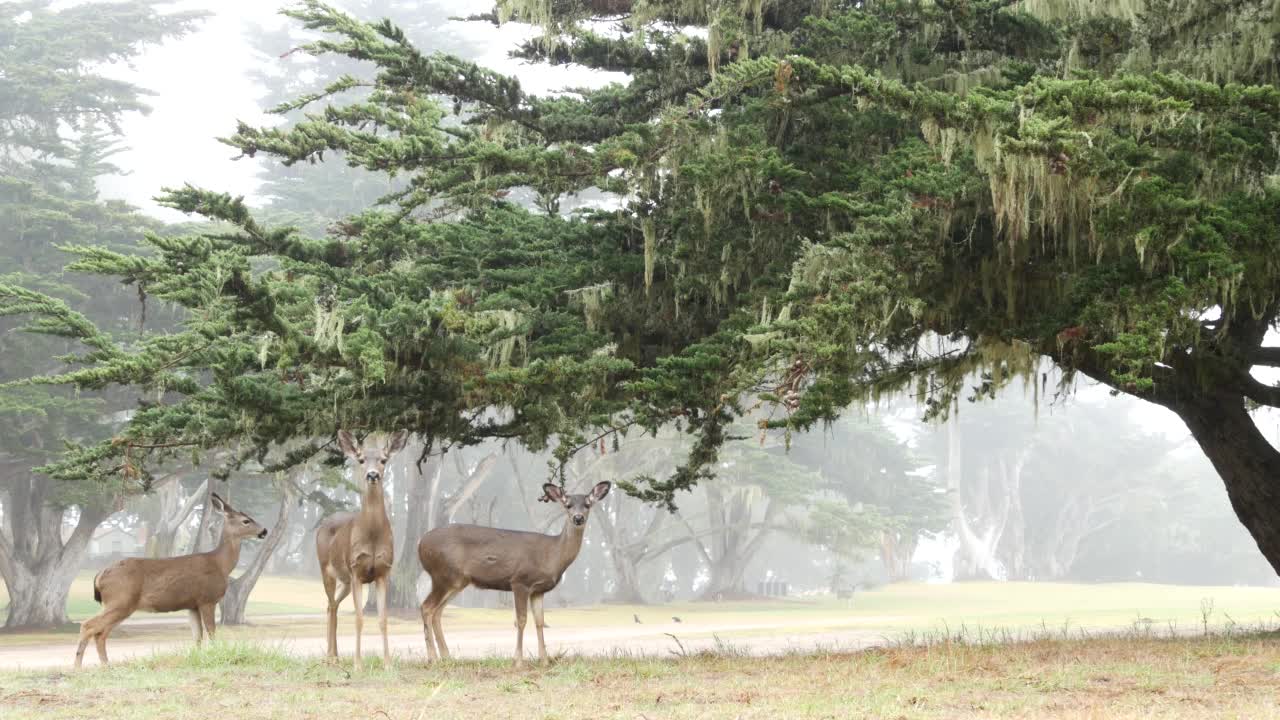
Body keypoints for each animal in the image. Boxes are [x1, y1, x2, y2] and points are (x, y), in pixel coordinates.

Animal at [73, 489, 268, 666]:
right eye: (246, 520)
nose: (264, 530)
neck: (220, 564)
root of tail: (99, 575)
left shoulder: (192, 605)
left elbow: (197, 637)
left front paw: (197, 659)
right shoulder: (207, 599)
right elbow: (211, 633)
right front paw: (216, 657)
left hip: (120, 604)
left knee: (100, 632)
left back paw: (106, 665)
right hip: (120, 600)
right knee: (88, 626)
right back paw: (78, 667)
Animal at [313, 425, 407, 666]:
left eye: (383, 460)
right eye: (362, 459)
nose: (372, 475)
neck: (372, 536)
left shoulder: (383, 571)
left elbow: (383, 619)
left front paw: (388, 664)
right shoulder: (356, 569)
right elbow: (359, 618)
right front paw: (357, 664)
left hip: (345, 580)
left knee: (332, 605)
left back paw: (335, 655)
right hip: (326, 569)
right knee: (330, 604)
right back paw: (330, 657)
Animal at [417, 479, 611, 666]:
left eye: (587, 504)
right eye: (568, 505)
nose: (578, 518)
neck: (552, 555)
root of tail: (420, 544)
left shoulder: (538, 590)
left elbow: (540, 622)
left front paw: (544, 660)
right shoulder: (520, 581)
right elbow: (521, 620)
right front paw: (518, 661)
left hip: (457, 582)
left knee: (437, 612)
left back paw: (447, 657)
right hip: (443, 575)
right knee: (427, 607)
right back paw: (432, 658)